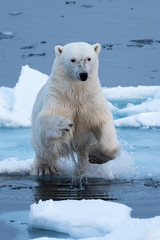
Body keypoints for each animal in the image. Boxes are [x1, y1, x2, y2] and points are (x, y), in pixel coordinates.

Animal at [31, 42, 120, 175]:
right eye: (72, 60)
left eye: (88, 58)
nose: (83, 75)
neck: (76, 94)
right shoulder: (58, 97)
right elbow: (44, 119)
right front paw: (63, 125)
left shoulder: (92, 101)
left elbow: (103, 124)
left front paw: (95, 156)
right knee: (44, 151)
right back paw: (43, 168)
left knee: (83, 156)